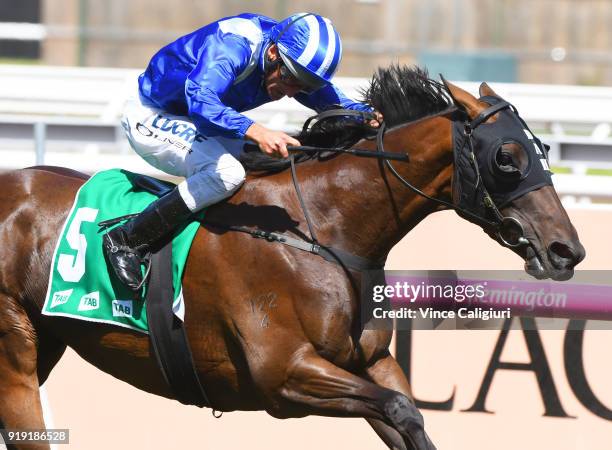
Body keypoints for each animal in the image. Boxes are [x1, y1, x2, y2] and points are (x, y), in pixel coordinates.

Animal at [0, 64, 584, 450]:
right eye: (507, 158)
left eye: (543, 150)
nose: (567, 251)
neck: (321, 228)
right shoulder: (285, 374)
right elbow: (399, 408)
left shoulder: (371, 361)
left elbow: (410, 417)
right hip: (16, 347)